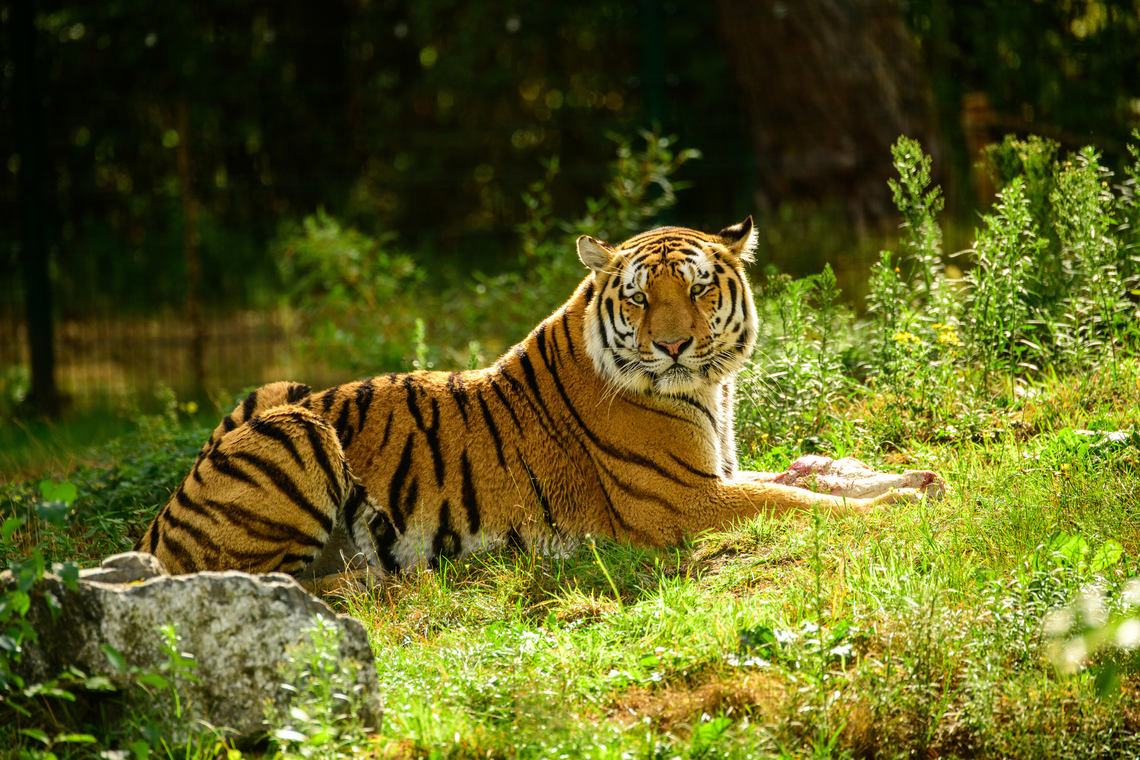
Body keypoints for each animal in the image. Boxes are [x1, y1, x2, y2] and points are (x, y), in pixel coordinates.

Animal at [135, 218, 932, 588]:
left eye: (699, 288)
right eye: (640, 298)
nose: (674, 345)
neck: (709, 387)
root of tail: (156, 522)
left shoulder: (720, 475)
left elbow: (810, 479)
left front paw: (912, 480)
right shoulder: (684, 500)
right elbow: (797, 504)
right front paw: (895, 507)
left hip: (275, 394)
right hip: (295, 425)